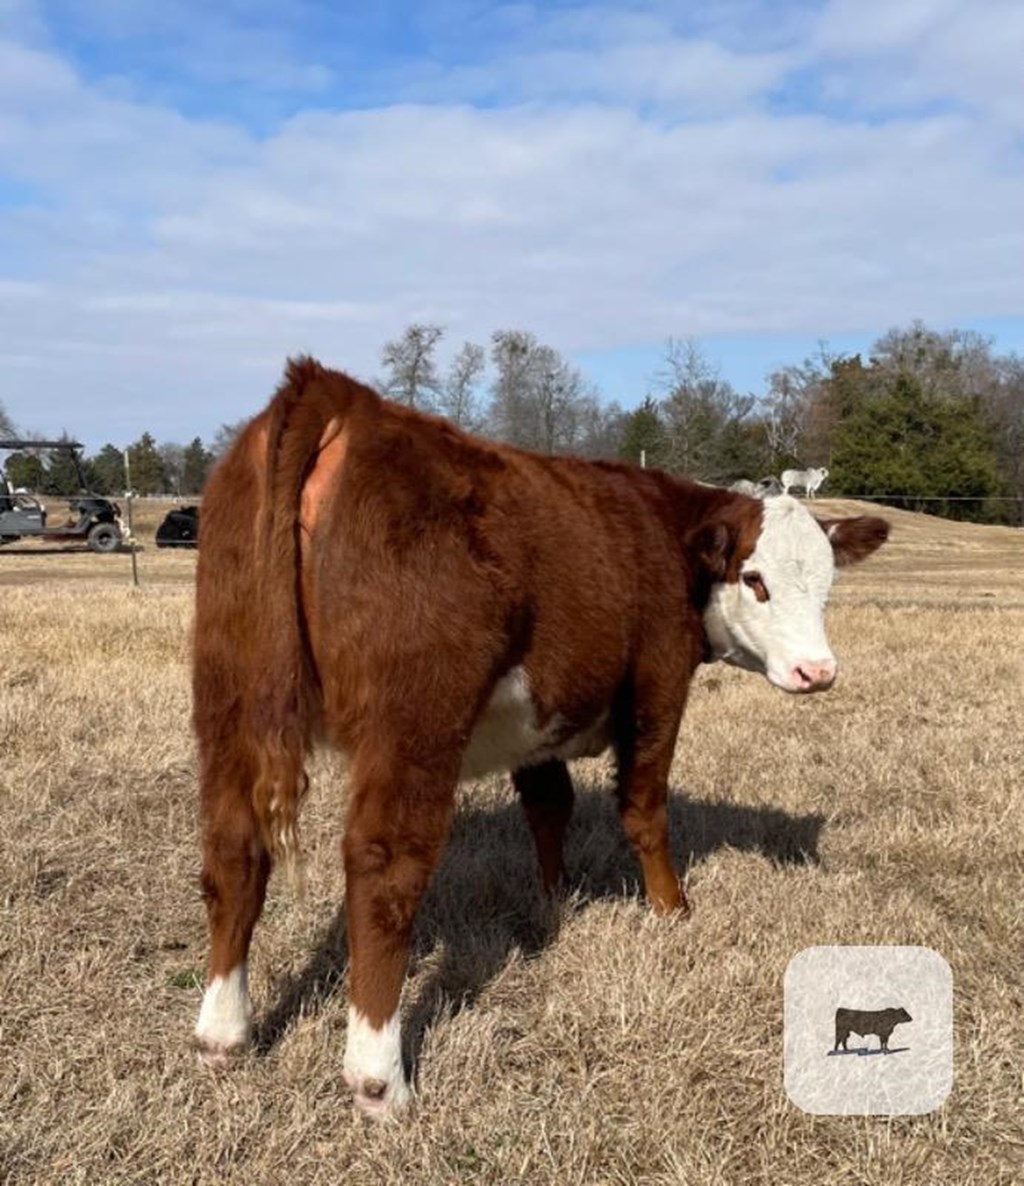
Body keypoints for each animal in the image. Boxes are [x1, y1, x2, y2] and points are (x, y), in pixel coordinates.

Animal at [192, 355, 887, 1114]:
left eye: (826, 585)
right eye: (755, 579)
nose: (817, 671)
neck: (658, 531)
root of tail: (337, 394)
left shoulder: (536, 718)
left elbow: (549, 805)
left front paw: (557, 897)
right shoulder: (658, 685)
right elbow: (644, 808)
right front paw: (671, 909)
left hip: (228, 702)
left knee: (234, 851)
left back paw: (222, 1034)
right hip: (413, 723)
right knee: (383, 869)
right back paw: (377, 1075)